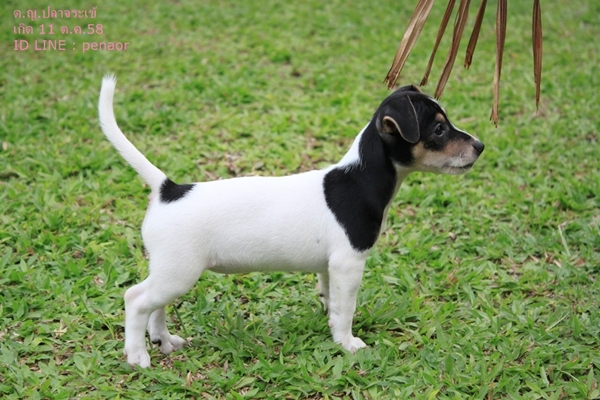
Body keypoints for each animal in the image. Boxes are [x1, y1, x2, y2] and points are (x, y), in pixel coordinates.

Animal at [98, 75, 484, 367]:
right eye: (438, 130)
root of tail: (169, 189)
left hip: (170, 271)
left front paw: (330, 325)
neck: (360, 178)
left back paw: (164, 341)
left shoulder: (331, 266)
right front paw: (348, 343)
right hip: (179, 272)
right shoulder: (349, 264)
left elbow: (331, 300)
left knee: (155, 306)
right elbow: (346, 309)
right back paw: (137, 355)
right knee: (136, 299)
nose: (480, 145)